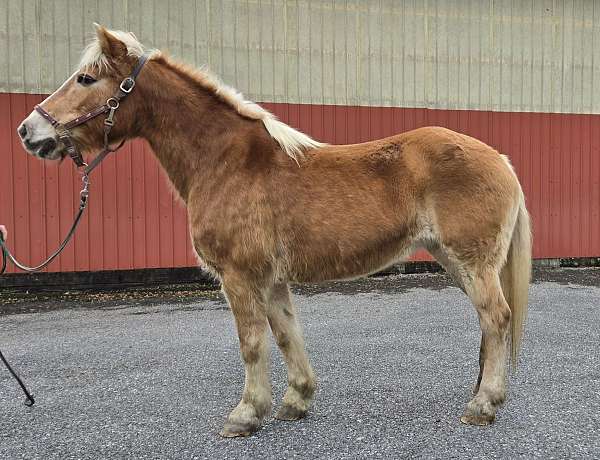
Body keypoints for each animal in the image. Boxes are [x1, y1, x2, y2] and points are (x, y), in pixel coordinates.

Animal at [17, 26, 528, 438]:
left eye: (86, 79)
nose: (28, 131)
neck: (225, 161)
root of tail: (501, 160)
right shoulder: (272, 279)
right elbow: (285, 335)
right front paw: (295, 401)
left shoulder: (240, 277)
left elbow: (251, 343)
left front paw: (245, 415)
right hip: (455, 260)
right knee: (489, 322)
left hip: (471, 261)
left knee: (497, 318)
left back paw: (483, 405)